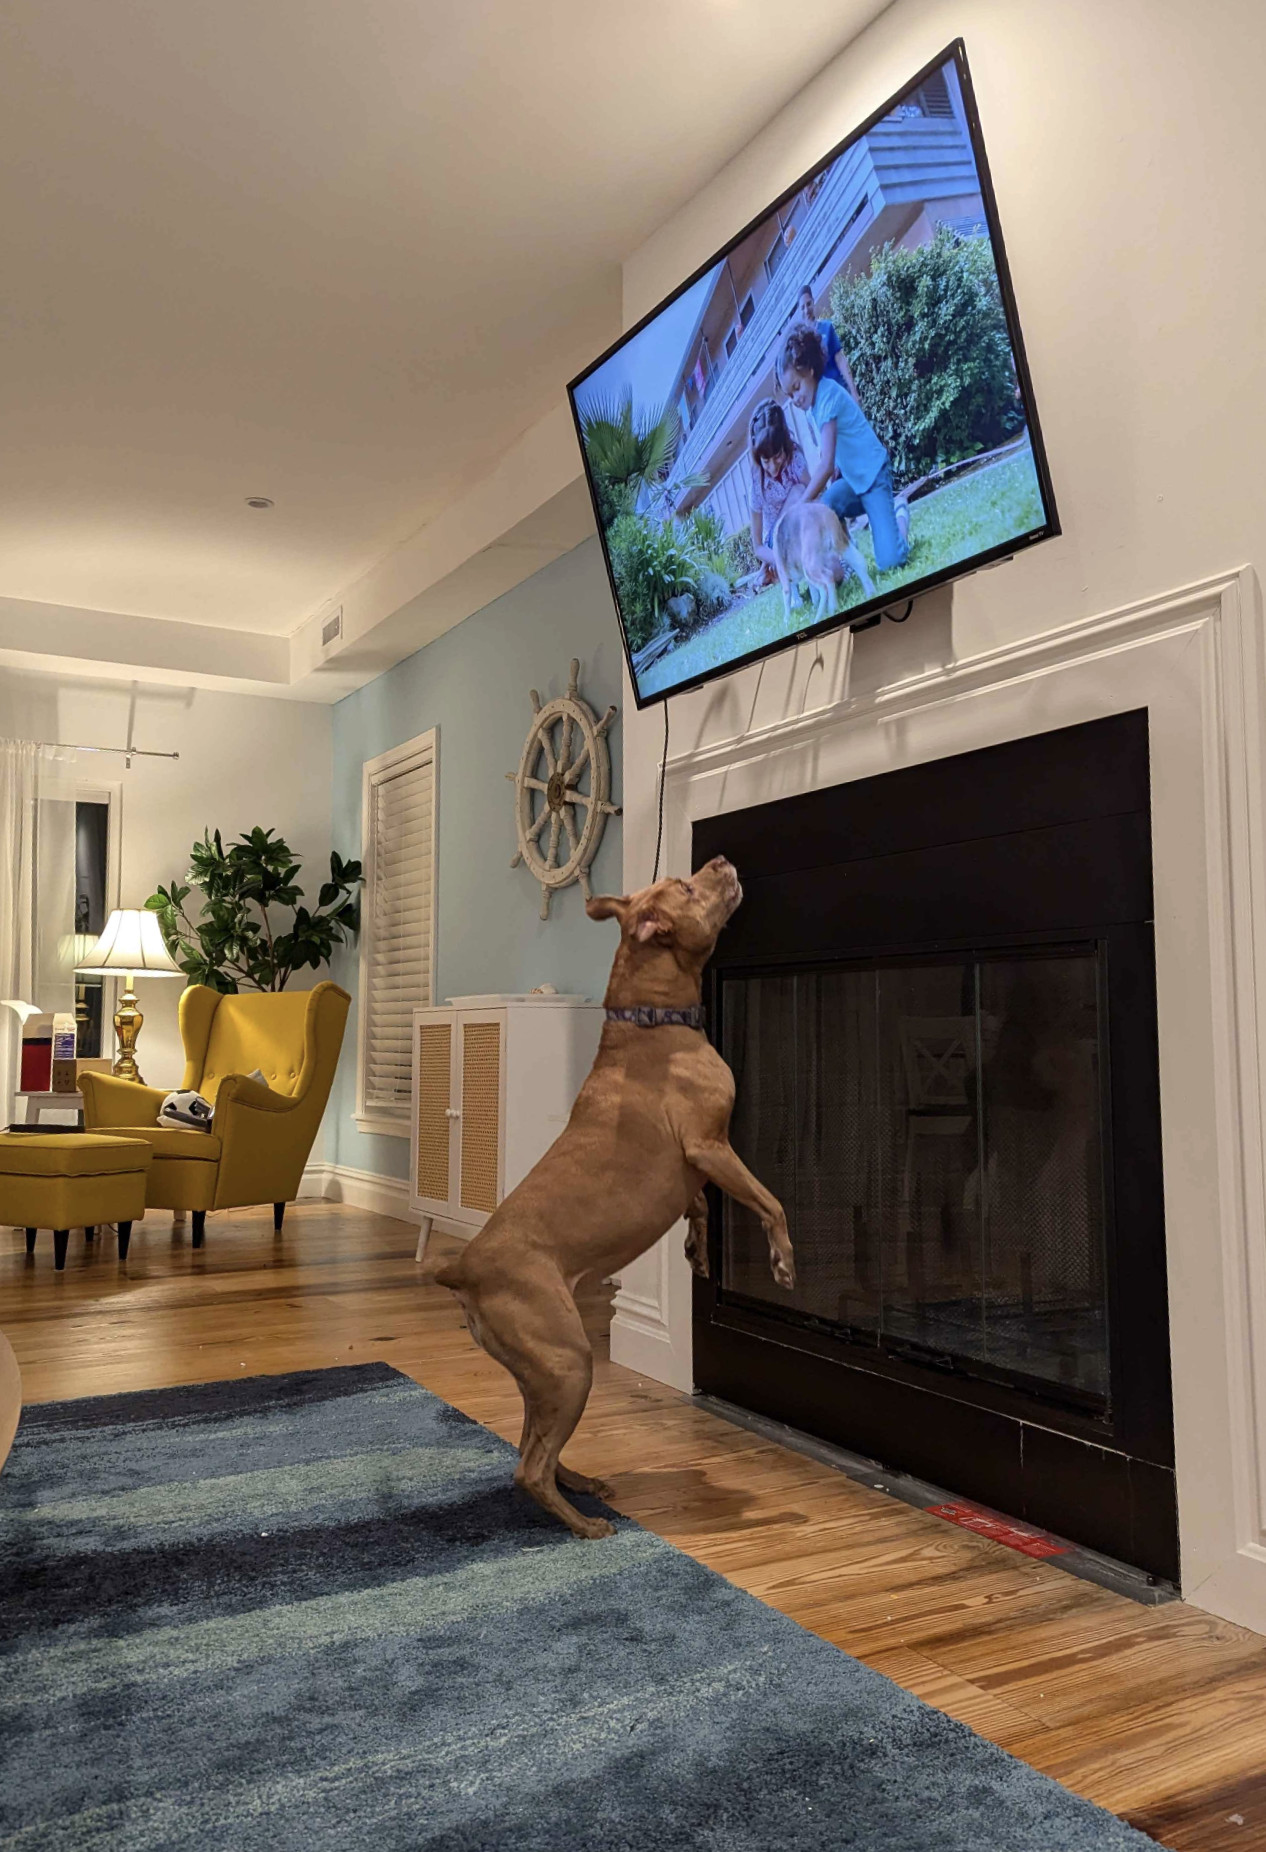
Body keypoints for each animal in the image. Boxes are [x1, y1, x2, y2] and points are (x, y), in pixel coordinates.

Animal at [434, 859, 792, 1540]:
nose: (721, 863)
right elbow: (770, 1202)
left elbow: (702, 1208)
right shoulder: (711, 1146)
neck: (651, 1020)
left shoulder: (698, 1168)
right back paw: (585, 1524)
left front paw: (698, 1250)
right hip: (570, 1361)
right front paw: (783, 1261)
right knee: (528, 1468)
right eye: (687, 887)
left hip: (543, 1371)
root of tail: (462, 1269)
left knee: (534, 1445)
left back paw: (579, 1484)